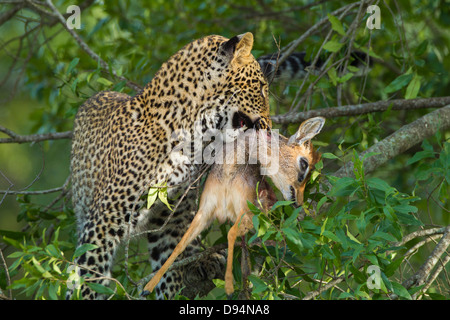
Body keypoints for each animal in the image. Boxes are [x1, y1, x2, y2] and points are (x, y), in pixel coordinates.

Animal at [70, 32, 270, 300]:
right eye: (261, 88)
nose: (269, 125)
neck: (192, 135)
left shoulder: (170, 220)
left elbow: (169, 269)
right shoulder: (103, 223)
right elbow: (89, 275)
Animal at [142, 116, 326, 296]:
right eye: (304, 163)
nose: (299, 202)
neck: (228, 173)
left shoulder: (246, 213)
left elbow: (230, 235)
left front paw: (230, 287)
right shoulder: (205, 210)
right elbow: (180, 245)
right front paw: (147, 287)